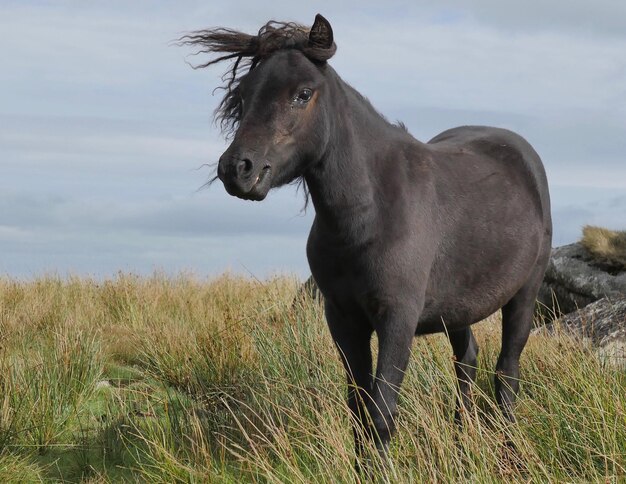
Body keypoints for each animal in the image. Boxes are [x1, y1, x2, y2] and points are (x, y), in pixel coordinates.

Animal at [180, 14, 552, 462]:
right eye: (244, 93)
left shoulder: (397, 320)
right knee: (467, 361)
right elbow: (358, 409)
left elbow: (381, 413)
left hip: (524, 296)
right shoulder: (344, 321)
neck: (369, 214)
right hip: (458, 308)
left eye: (303, 94)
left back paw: (509, 452)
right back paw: (463, 444)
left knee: (506, 373)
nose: (237, 169)